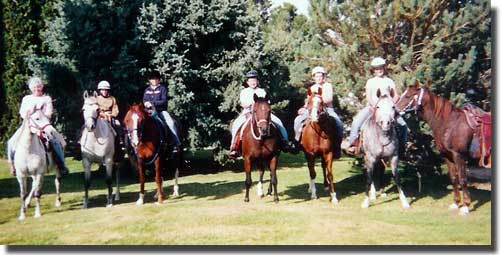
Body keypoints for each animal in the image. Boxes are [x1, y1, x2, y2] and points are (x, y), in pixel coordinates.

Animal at [394, 81, 488, 215]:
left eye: (407, 96)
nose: (394, 111)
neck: (450, 123)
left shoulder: (459, 156)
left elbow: (463, 179)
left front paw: (465, 207)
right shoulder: (447, 156)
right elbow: (453, 178)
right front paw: (456, 203)